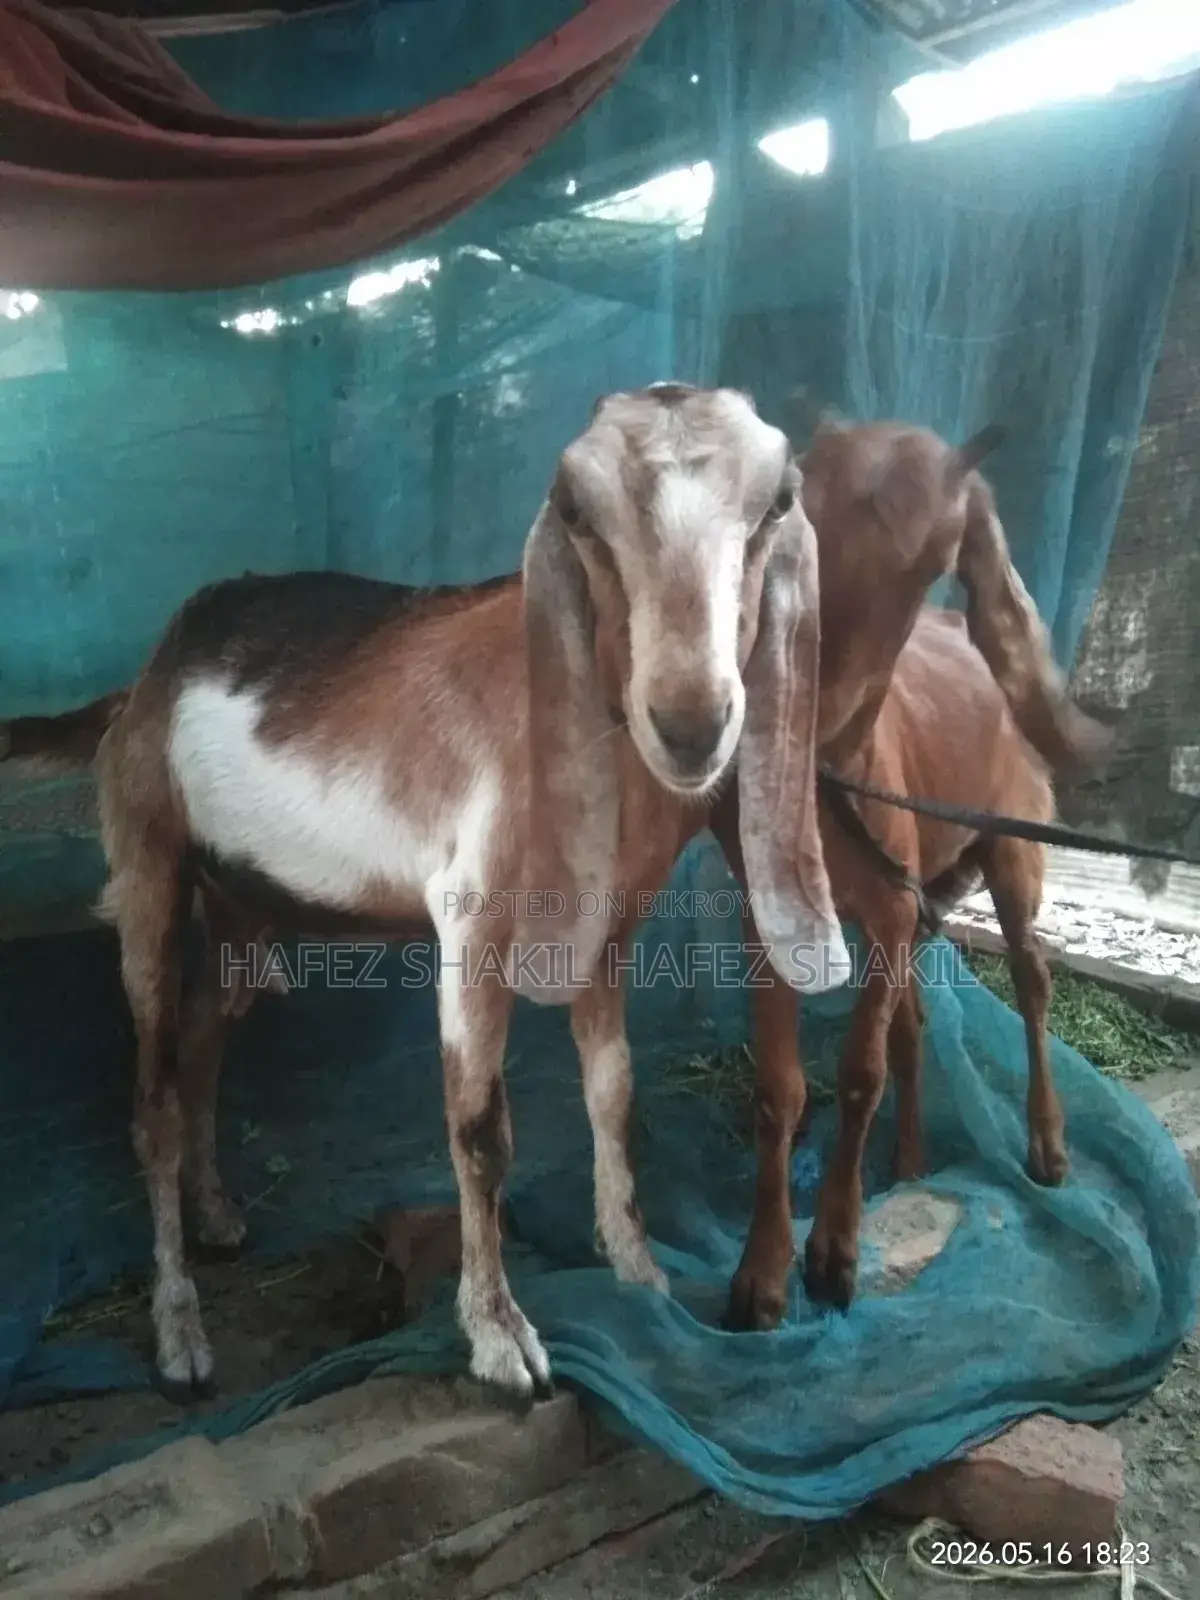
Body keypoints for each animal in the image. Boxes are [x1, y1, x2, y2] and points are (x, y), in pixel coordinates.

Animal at [0, 384, 849, 1401]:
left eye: (778, 499)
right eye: (575, 508)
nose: (689, 722)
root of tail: (141, 684)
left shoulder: (604, 925)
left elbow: (613, 1092)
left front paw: (639, 1272)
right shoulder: (473, 924)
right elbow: (480, 1129)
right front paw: (501, 1338)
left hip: (244, 902)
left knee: (206, 1040)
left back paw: (217, 1217)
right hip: (149, 869)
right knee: (154, 1100)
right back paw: (179, 1334)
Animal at [713, 417, 1107, 1330]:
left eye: (931, 553)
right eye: (793, 505)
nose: (790, 692)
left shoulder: (892, 908)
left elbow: (860, 1073)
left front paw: (834, 1253)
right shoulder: (774, 923)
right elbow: (780, 1087)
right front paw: (762, 1274)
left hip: (1009, 851)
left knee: (1030, 975)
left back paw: (1046, 1143)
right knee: (916, 1021)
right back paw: (911, 1164)